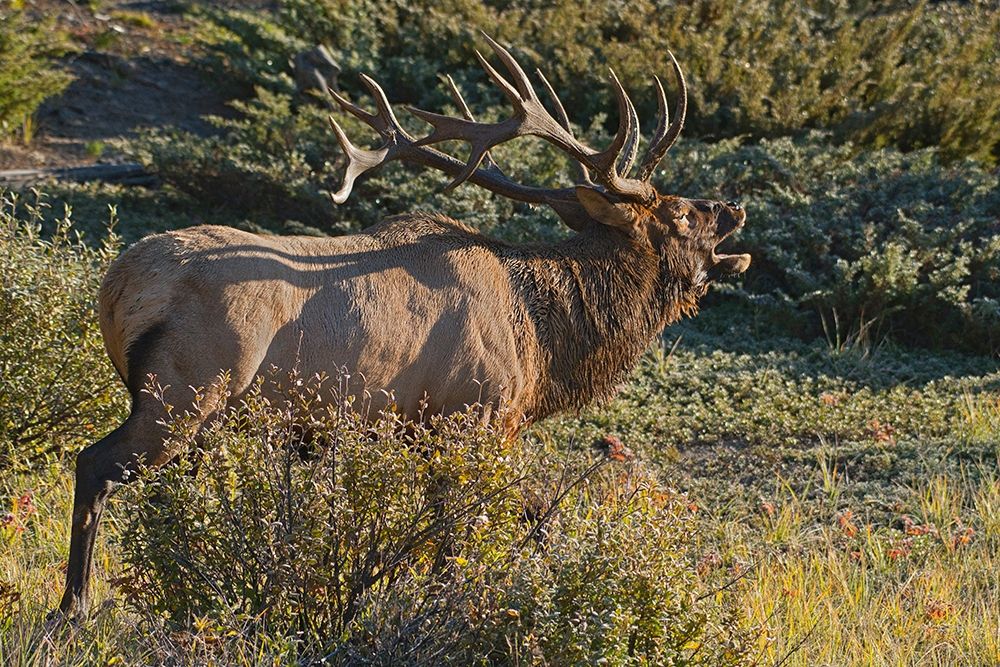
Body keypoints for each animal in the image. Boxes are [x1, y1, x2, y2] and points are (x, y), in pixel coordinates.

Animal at [50, 36, 748, 620]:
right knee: (94, 464)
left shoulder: (429, 430)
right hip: (185, 393)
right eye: (681, 215)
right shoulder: (472, 413)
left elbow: (515, 518)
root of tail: (116, 289)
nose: (732, 206)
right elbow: (477, 530)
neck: (542, 342)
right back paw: (74, 608)